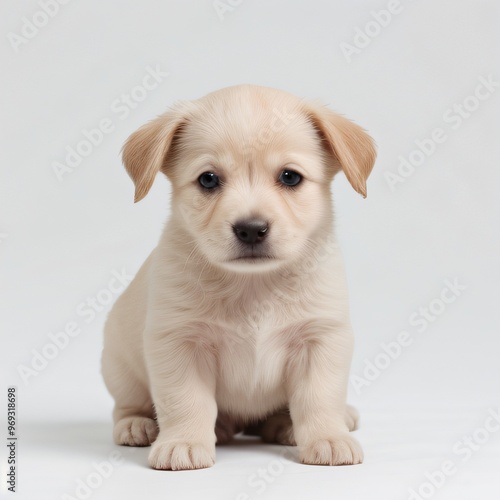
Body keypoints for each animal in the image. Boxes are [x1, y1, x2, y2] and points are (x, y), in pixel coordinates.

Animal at [101, 84, 376, 470]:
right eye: (208, 179)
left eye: (290, 176)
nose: (251, 229)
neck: (253, 284)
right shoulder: (179, 343)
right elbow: (186, 401)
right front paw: (184, 442)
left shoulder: (321, 339)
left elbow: (319, 397)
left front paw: (327, 437)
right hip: (119, 365)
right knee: (127, 406)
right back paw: (138, 425)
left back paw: (298, 423)